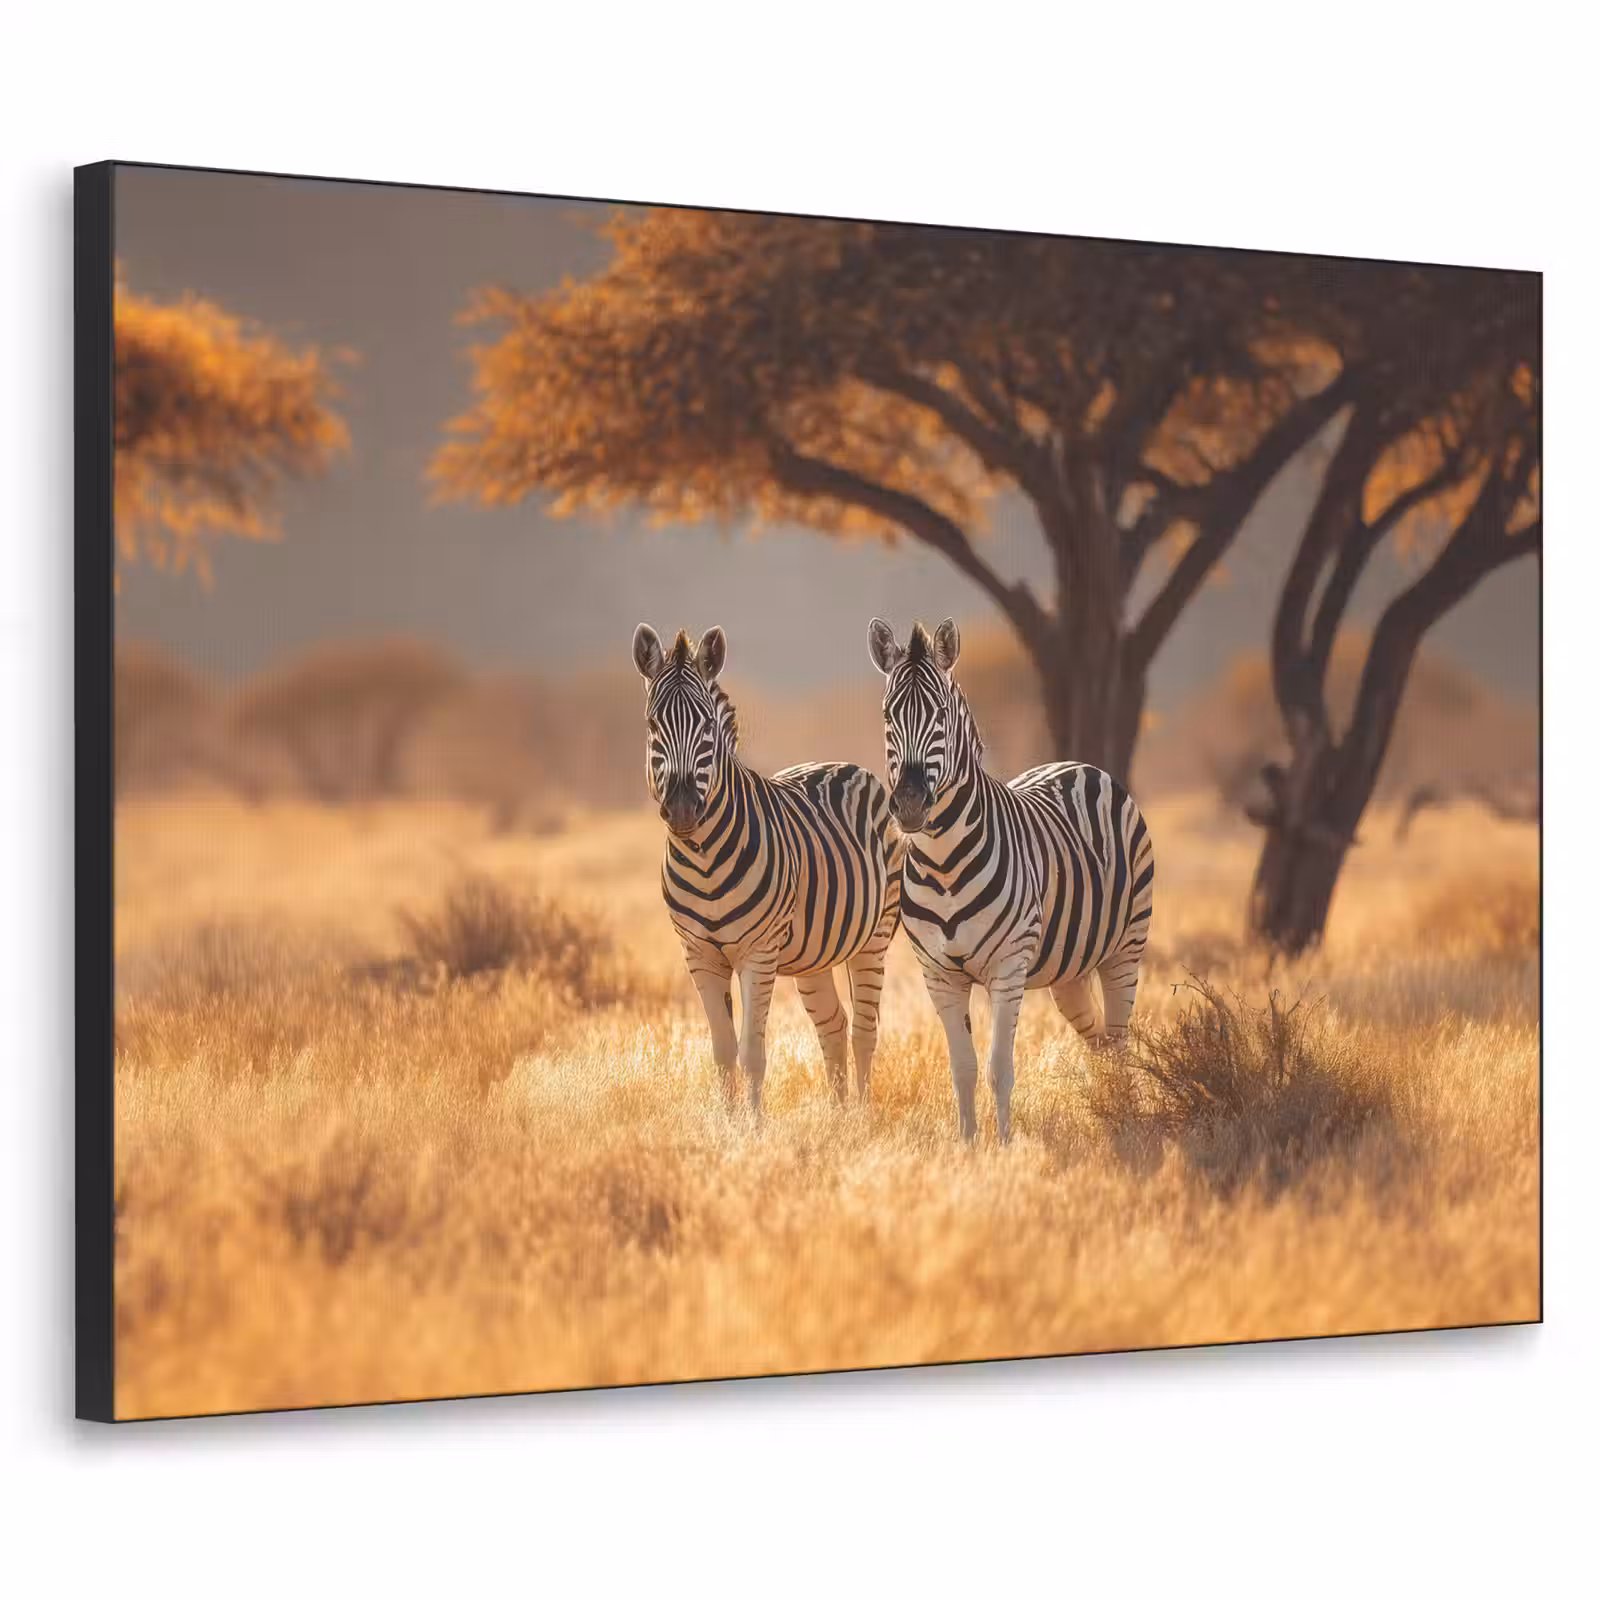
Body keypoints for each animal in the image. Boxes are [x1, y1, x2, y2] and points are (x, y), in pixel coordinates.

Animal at [633, 623, 904, 1113]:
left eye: (706, 725)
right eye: (652, 724)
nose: (681, 809)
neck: (703, 859)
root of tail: (844, 763)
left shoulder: (757, 954)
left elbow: (752, 1053)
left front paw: (754, 1127)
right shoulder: (699, 955)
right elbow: (723, 1052)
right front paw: (727, 1123)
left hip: (873, 936)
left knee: (863, 1031)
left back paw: (861, 1116)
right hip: (815, 952)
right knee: (833, 1025)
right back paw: (838, 1118)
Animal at [867, 617, 1155, 1143]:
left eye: (941, 715)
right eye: (887, 715)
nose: (911, 803)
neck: (943, 863)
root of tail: (1079, 765)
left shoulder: (1008, 966)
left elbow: (999, 1067)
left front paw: (1003, 1146)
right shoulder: (938, 974)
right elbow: (962, 1067)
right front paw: (967, 1145)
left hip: (1126, 946)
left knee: (1120, 1039)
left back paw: (1126, 1117)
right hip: (1069, 969)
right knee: (1100, 1041)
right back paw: (1109, 1109)